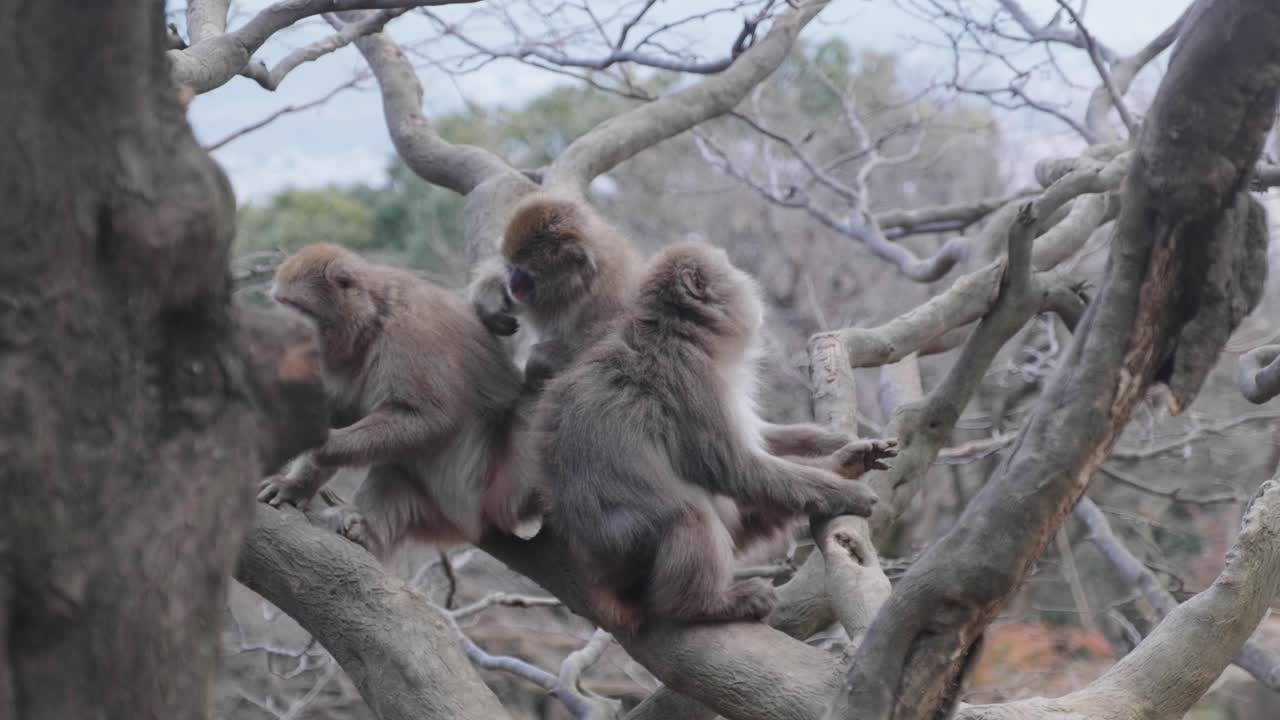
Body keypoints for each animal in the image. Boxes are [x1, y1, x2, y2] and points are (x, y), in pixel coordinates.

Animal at [256, 243, 542, 559]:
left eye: (296, 307)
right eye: (281, 303)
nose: (282, 331)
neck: (373, 321)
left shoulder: (411, 334)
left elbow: (428, 418)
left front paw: (315, 445)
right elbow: (341, 412)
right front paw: (296, 484)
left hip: (496, 489)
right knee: (395, 474)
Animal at [536, 241, 888, 636]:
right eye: (729, 269)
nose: (745, 278)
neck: (680, 331)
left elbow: (759, 440)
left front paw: (842, 453)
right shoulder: (692, 375)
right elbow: (735, 468)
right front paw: (843, 486)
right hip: (626, 547)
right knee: (689, 515)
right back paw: (701, 604)